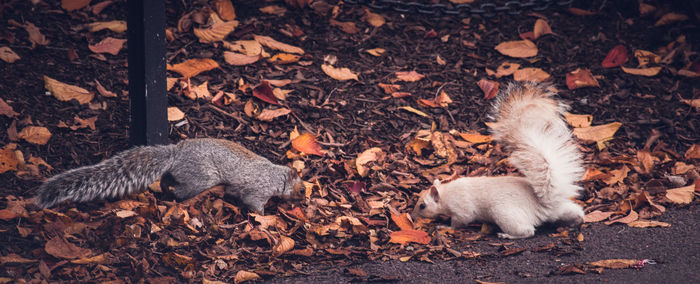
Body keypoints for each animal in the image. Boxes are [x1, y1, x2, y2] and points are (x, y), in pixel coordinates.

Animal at [35, 138, 304, 213]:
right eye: (301, 189)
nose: (304, 199)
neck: (276, 175)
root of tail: (176, 153)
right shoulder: (257, 189)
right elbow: (251, 202)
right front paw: (265, 216)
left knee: (167, 180)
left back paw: (164, 188)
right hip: (201, 177)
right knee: (183, 190)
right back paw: (177, 196)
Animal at [410, 82, 584, 240]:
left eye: (422, 205)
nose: (413, 216)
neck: (447, 193)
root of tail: (543, 205)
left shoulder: (462, 208)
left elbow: (460, 221)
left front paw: (444, 226)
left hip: (504, 213)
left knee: (527, 231)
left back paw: (507, 235)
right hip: (560, 209)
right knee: (574, 212)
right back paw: (577, 221)